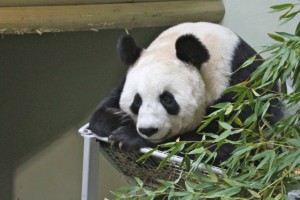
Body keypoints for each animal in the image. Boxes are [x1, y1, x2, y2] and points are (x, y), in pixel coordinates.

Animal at [88, 21, 282, 164]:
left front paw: (127, 136)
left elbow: (222, 143)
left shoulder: (242, 87)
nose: (148, 130)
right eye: (137, 101)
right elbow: (103, 110)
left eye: (167, 99)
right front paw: (115, 117)